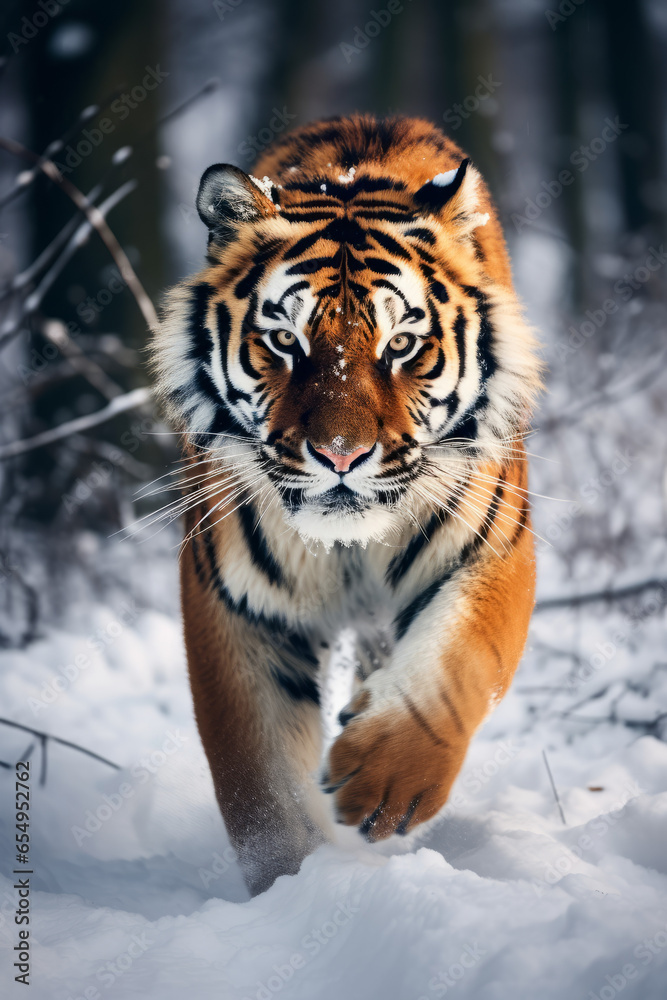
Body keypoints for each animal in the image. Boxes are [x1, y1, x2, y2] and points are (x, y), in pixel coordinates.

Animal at [151, 113, 544, 896]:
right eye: (284, 340)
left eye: (402, 344)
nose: (339, 454)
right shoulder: (236, 601)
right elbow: (261, 784)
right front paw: (294, 891)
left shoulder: (493, 550)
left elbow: (456, 664)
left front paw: (382, 784)